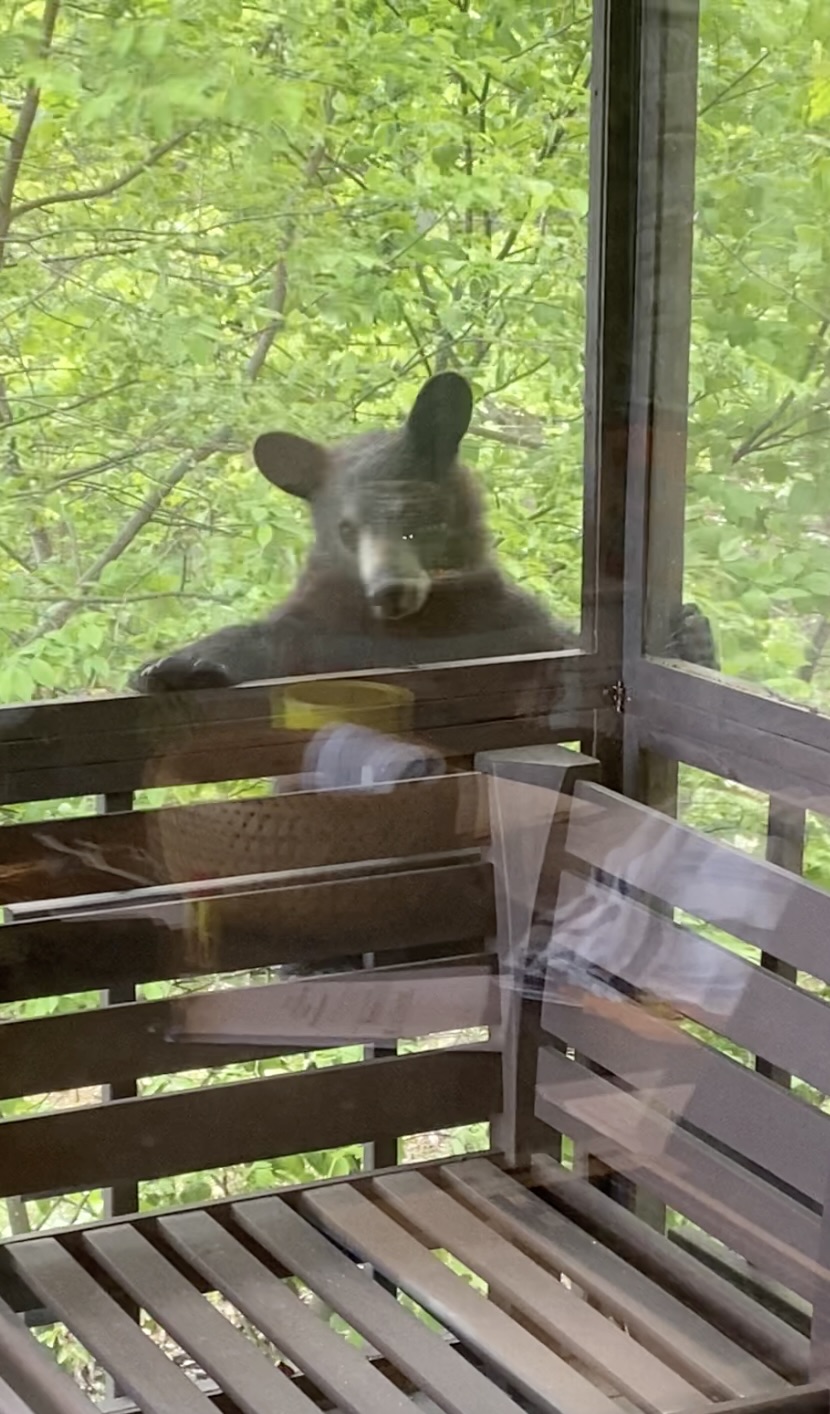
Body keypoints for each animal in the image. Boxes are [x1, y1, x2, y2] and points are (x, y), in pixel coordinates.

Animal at [130, 370, 715, 690]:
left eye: (418, 515)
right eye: (347, 528)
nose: (390, 591)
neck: (420, 625)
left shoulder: (505, 623)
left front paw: (691, 635)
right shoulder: (322, 625)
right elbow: (268, 639)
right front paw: (175, 665)